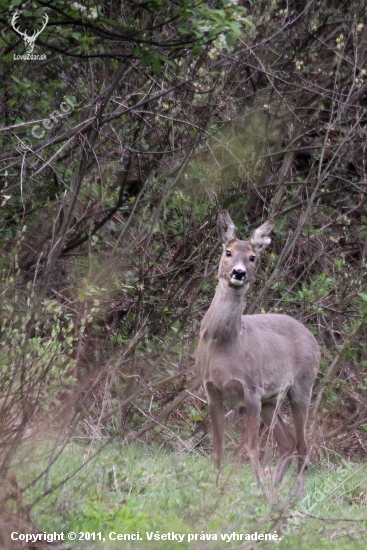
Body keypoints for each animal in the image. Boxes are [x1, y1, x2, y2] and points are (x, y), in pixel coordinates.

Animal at [197, 212, 320, 500]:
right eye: (228, 251)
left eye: (253, 257)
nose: (239, 272)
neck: (226, 345)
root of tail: (313, 338)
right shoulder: (211, 390)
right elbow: (217, 446)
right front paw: (215, 487)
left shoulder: (251, 388)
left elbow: (253, 446)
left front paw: (257, 488)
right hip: (271, 399)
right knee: (287, 442)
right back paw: (277, 488)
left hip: (302, 386)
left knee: (303, 444)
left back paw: (293, 494)